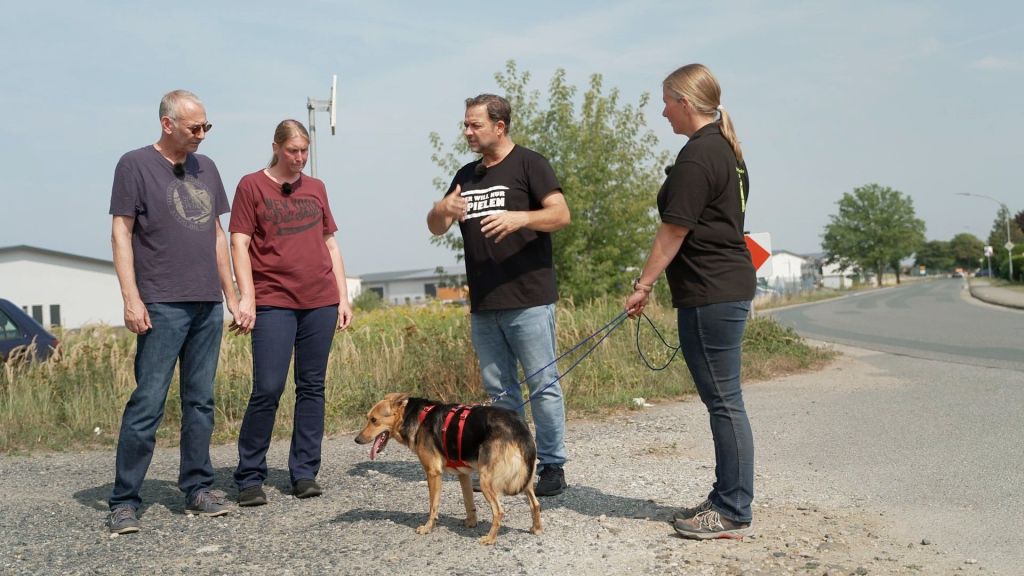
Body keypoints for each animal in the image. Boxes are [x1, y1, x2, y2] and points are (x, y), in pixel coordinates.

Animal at [354, 389, 544, 541]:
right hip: (525, 479)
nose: (357, 440)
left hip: (486, 481)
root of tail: (519, 427)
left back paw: (489, 539)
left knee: (499, 511)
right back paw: (536, 529)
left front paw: (428, 527)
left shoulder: (433, 473)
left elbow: (433, 506)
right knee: (535, 504)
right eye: (367, 419)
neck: (414, 416)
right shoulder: (463, 474)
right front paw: (471, 522)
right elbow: (468, 502)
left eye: (374, 420)